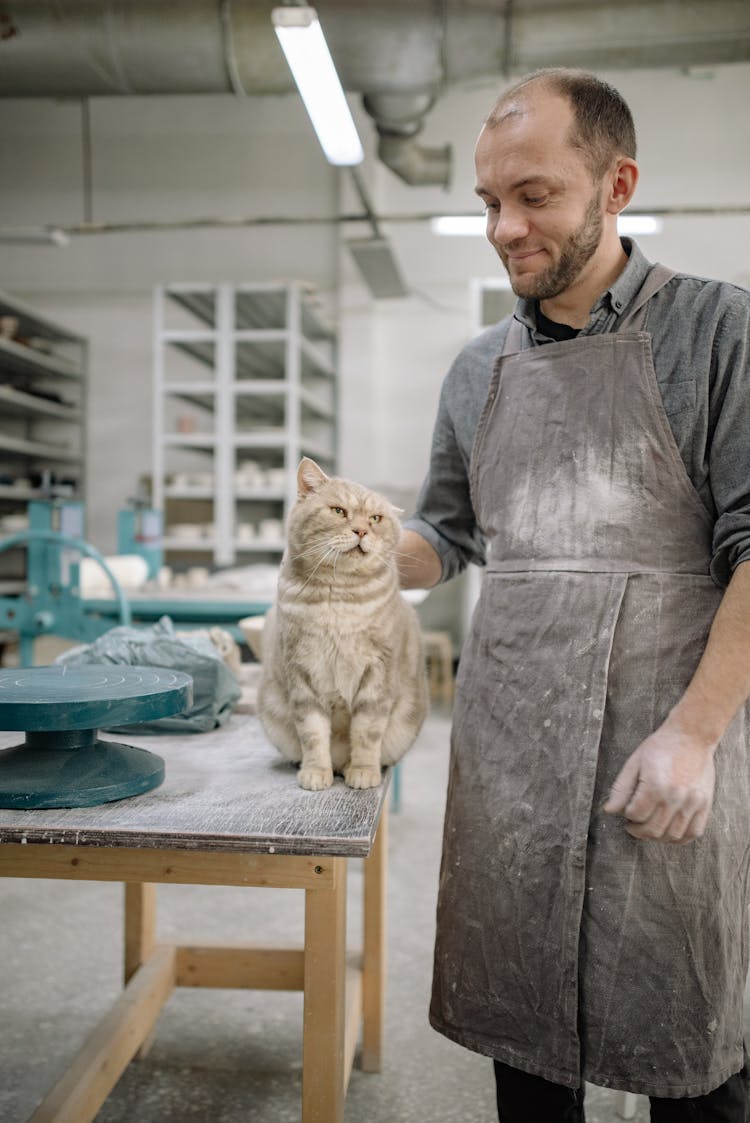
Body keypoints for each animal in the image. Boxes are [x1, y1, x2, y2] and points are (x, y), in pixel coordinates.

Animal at [258, 455, 426, 790]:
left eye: (375, 518)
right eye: (339, 511)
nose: (361, 531)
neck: (339, 598)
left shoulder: (378, 676)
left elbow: (366, 733)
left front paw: (362, 771)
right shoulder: (302, 673)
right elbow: (312, 734)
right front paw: (315, 772)